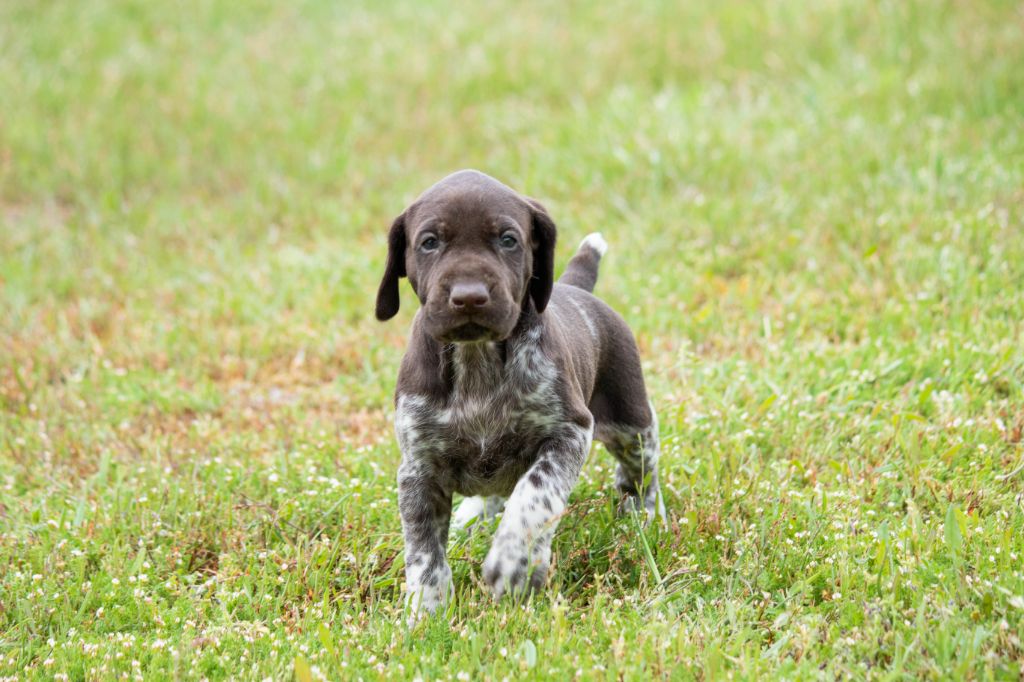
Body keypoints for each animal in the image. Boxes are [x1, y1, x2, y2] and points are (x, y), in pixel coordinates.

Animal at [378, 168, 663, 614]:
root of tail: (576, 288)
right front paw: (426, 613)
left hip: (629, 422)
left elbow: (534, 496)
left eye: (508, 239)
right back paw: (471, 515)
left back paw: (643, 516)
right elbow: (423, 552)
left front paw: (515, 563)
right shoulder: (418, 468)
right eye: (429, 242)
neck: (477, 359)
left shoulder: (569, 432)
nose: (469, 297)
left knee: (641, 468)